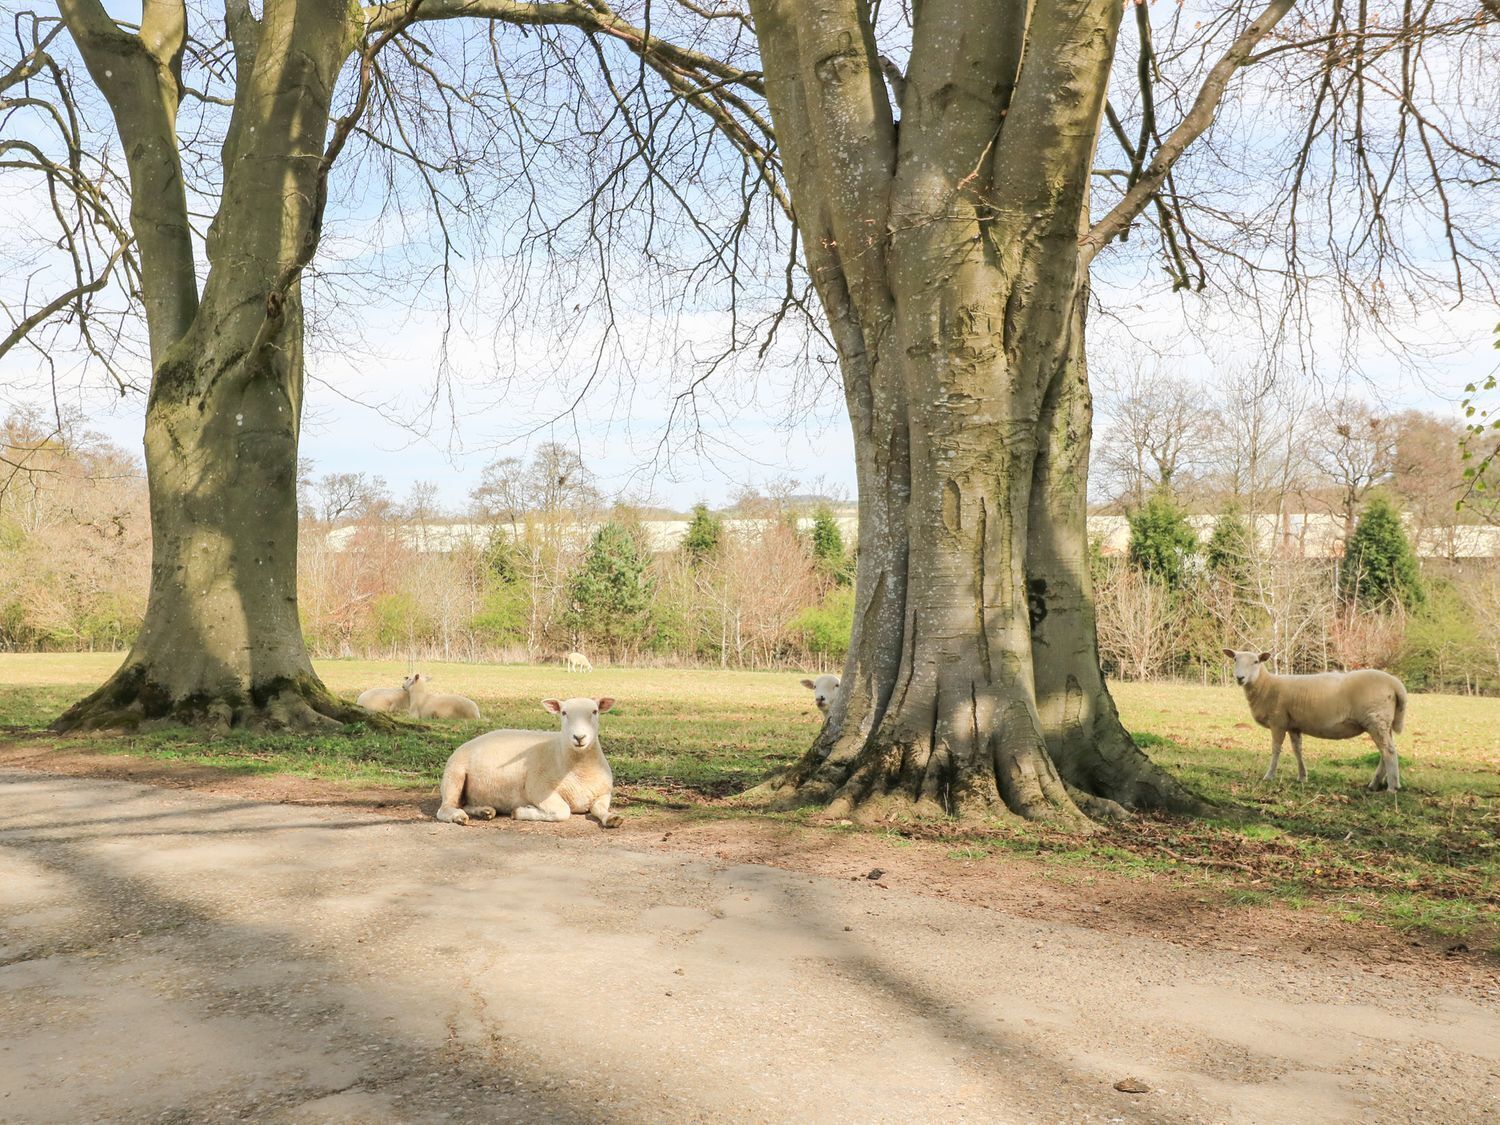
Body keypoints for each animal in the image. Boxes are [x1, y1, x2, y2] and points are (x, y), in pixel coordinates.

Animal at [435, 696, 620, 828]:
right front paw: (522, 811)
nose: (579, 737)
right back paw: (458, 816)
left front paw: (612, 818)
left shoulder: (604, 793)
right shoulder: (538, 789)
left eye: (595, 711)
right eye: (564, 713)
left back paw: (484, 811)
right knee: (445, 808)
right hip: (454, 775)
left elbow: (599, 808)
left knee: (464, 803)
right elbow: (563, 811)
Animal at [1222, 648, 1408, 791]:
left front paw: (1269, 776)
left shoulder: (1278, 721)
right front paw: (1302, 776)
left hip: (1375, 720)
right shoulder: (1293, 725)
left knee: (1389, 751)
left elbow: (1276, 749)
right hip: (1383, 723)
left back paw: (1392, 787)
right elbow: (1297, 750)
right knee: (1386, 751)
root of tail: (1395, 683)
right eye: (1235, 659)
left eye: (1255, 661)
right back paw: (1375, 784)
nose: (1240, 678)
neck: (1266, 686)